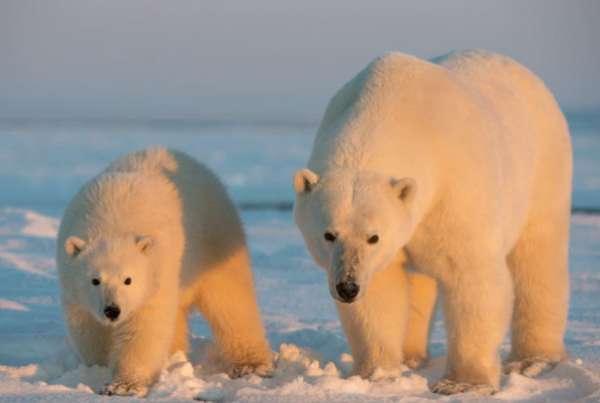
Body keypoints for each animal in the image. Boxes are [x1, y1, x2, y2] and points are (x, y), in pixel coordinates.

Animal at [56, 148, 272, 398]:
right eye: (95, 280)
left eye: (128, 280)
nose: (112, 310)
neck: (110, 223)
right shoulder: (74, 288)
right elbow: (89, 327)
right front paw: (99, 369)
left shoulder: (156, 270)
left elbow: (144, 327)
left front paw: (124, 386)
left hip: (214, 240)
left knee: (231, 301)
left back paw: (251, 364)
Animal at [294, 50, 572, 394]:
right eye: (329, 235)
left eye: (374, 237)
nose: (347, 287)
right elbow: (380, 291)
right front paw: (377, 373)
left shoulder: (456, 189)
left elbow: (471, 276)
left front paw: (463, 383)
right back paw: (413, 355)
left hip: (543, 166)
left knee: (538, 255)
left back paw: (533, 359)